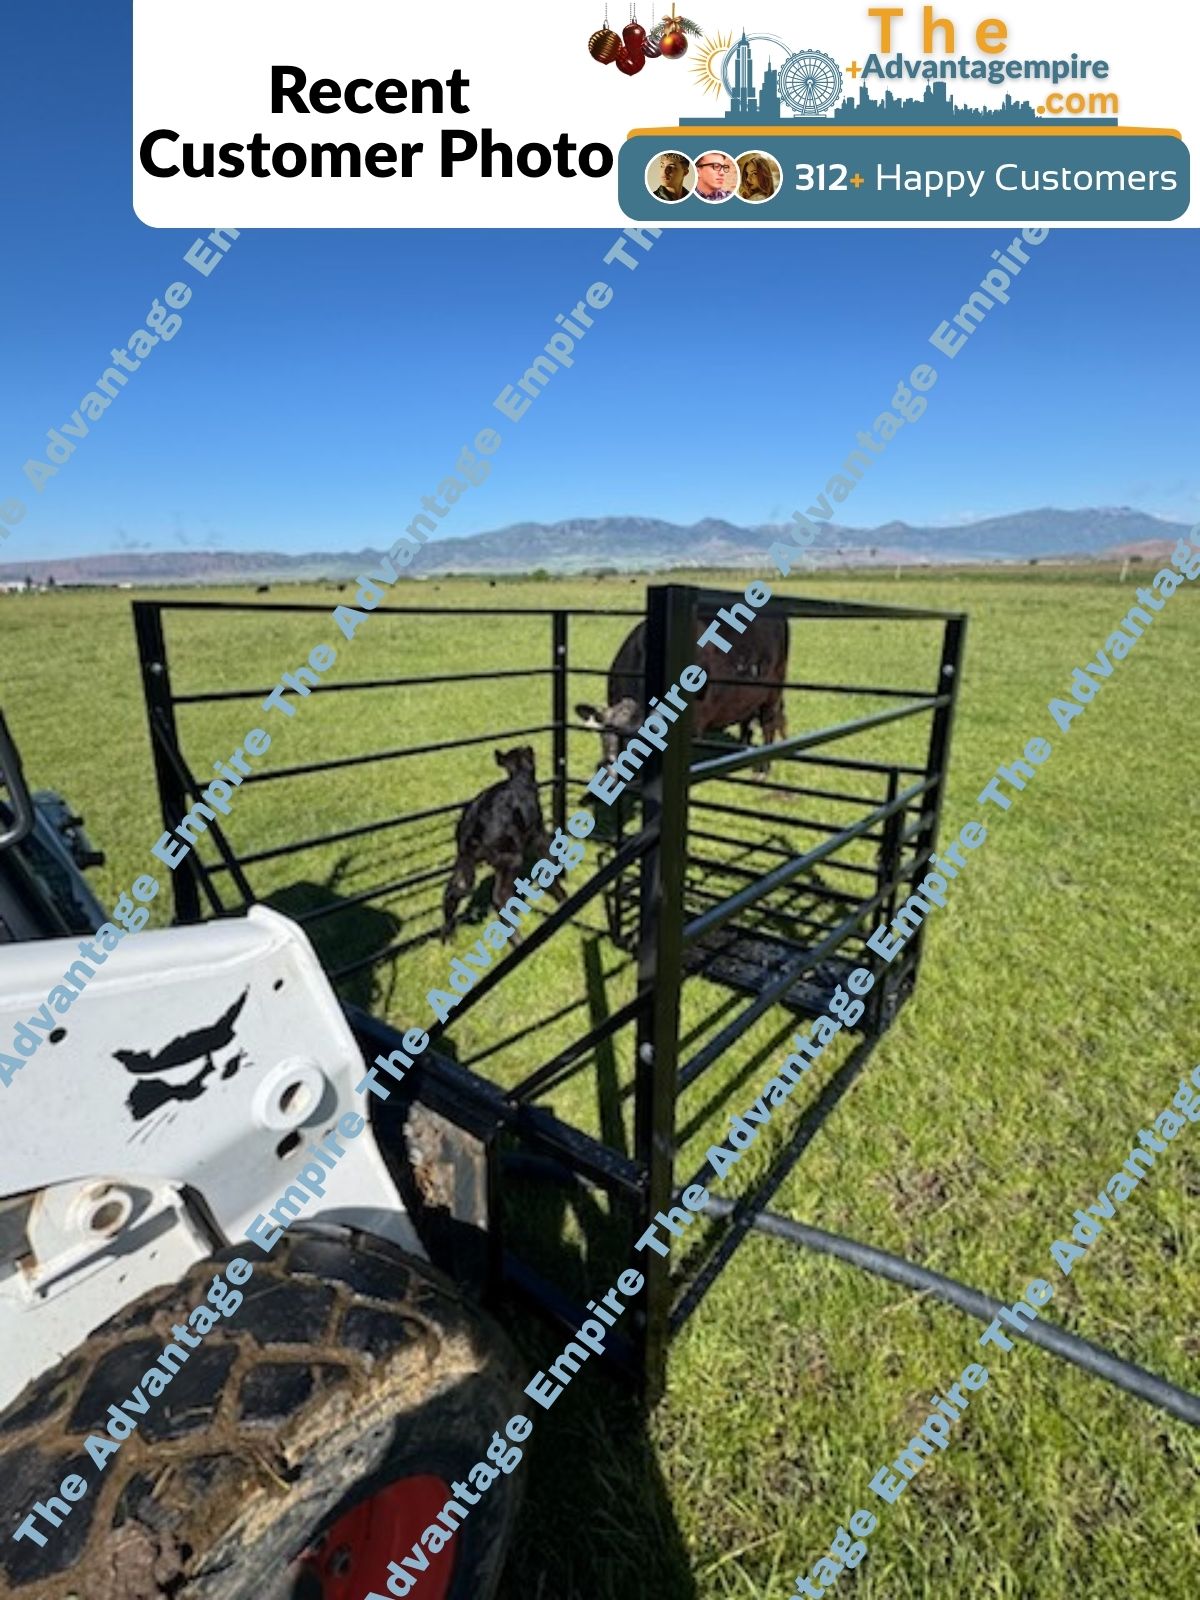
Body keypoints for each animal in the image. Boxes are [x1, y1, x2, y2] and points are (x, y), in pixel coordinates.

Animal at [442, 746, 564, 940]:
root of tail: (472, 825)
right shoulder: (537, 832)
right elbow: (548, 858)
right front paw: (562, 896)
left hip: (465, 858)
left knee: (454, 889)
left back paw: (448, 937)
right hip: (509, 858)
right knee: (500, 897)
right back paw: (516, 938)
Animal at [575, 610, 789, 773]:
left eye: (634, 740)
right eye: (602, 735)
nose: (608, 768)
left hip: (773, 694)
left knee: (768, 726)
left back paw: (763, 769)